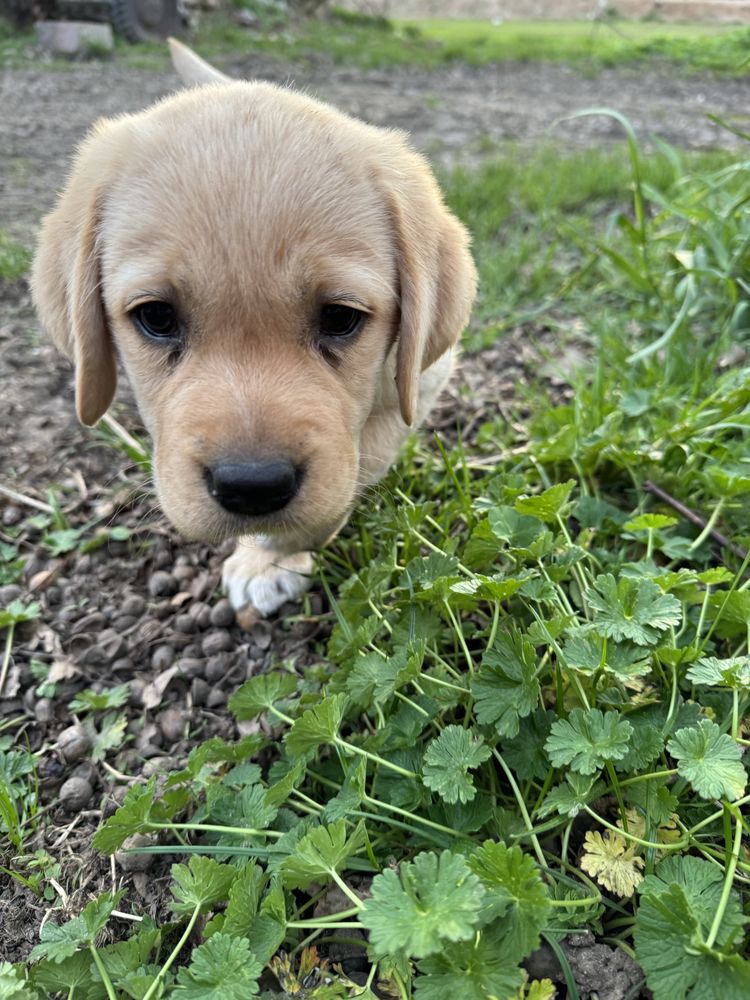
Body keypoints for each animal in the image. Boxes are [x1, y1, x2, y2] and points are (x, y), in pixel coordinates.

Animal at [32, 39, 476, 612]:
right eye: (156, 316)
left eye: (341, 317)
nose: (252, 487)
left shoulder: (422, 379)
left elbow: (359, 459)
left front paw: (269, 558)